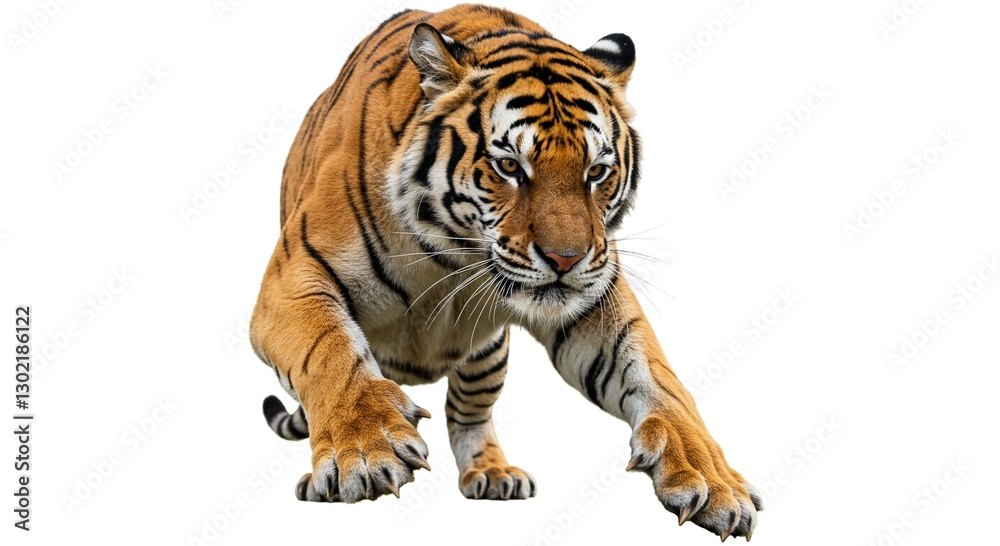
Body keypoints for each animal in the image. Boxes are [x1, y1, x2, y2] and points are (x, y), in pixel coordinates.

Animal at [250, 3, 762, 540]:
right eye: (510, 167)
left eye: (596, 172)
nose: (566, 259)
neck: (455, 254)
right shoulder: (292, 281)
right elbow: (330, 352)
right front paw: (367, 451)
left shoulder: (596, 297)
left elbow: (659, 380)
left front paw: (713, 479)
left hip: (487, 358)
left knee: (467, 413)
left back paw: (493, 472)